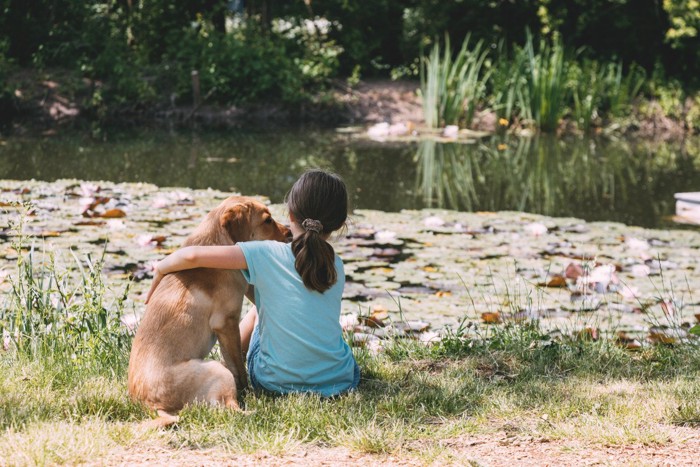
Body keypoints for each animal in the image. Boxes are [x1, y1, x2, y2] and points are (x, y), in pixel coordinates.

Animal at [127, 196, 288, 426]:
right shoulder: (227, 323)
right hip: (216, 369)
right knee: (230, 408)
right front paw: (247, 390)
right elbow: (239, 369)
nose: (290, 233)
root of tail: (151, 406)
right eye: (268, 220)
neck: (217, 243)